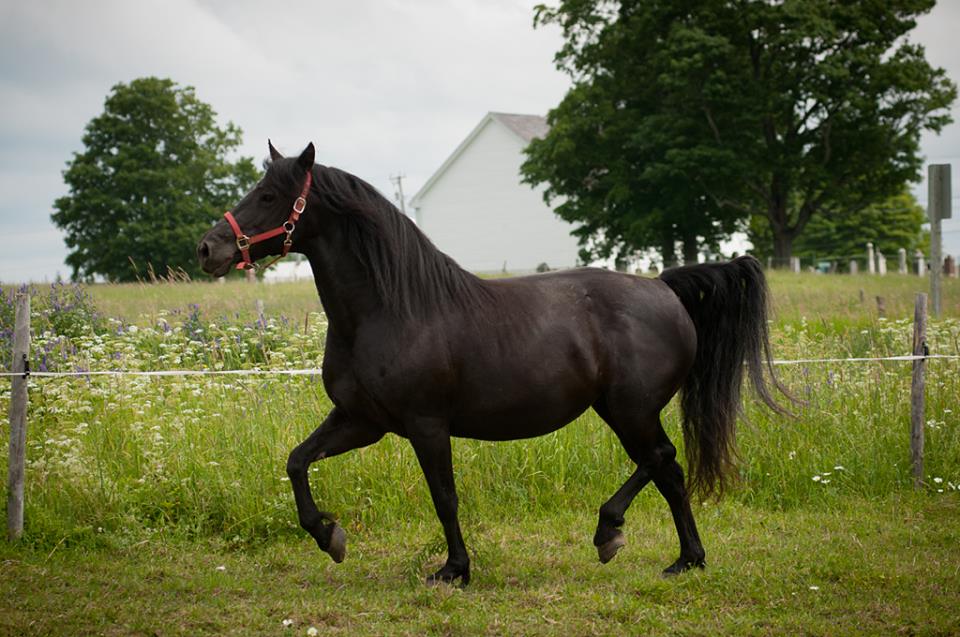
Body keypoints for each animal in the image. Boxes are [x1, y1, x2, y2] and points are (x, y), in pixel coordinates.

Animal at [197, 141, 787, 587]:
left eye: (269, 194)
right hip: (619, 409)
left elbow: (444, 498)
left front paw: (454, 570)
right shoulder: (361, 421)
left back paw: (637, 541)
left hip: (630, 409)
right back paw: (664, 551)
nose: (208, 249)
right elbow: (297, 461)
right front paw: (330, 535)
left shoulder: (426, 426)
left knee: (663, 461)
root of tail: (663, 287)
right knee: (664, 467)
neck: (392, 308)